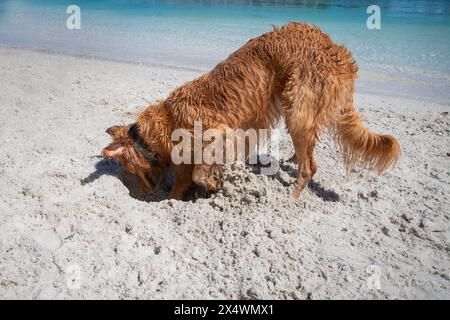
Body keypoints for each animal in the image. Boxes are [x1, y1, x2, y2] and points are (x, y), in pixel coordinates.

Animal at [103, 21, 400, 200]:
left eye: (134, 172)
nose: (145, 193)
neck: (167, 119)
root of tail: (338, 54)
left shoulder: (219, 133)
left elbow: (198, 173)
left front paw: (212, 184)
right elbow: (183, 183)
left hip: (297, 112)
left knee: (310, 168)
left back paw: (292, 196)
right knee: (307, 155)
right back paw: (293, 159)